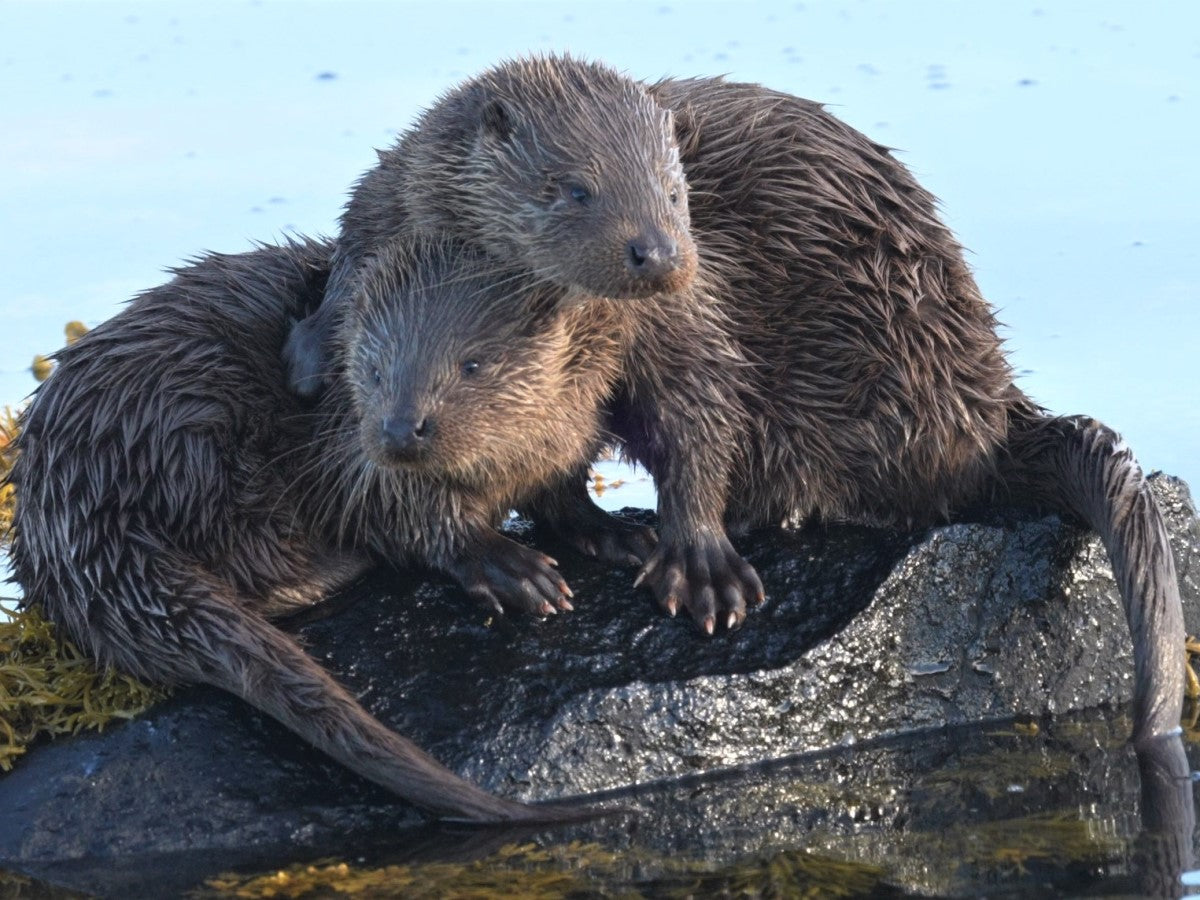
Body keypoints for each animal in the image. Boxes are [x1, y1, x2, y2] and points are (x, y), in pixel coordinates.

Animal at [8, 236, 633, 822]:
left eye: (473, 364)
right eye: (370, 369)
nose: (399, 429)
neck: (517, 457)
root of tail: (68, 515)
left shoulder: (581, 423)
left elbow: (564, 495)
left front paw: (613, 534)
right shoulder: (347, 447)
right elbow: (412, 518)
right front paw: (511, 568)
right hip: (189, 436)